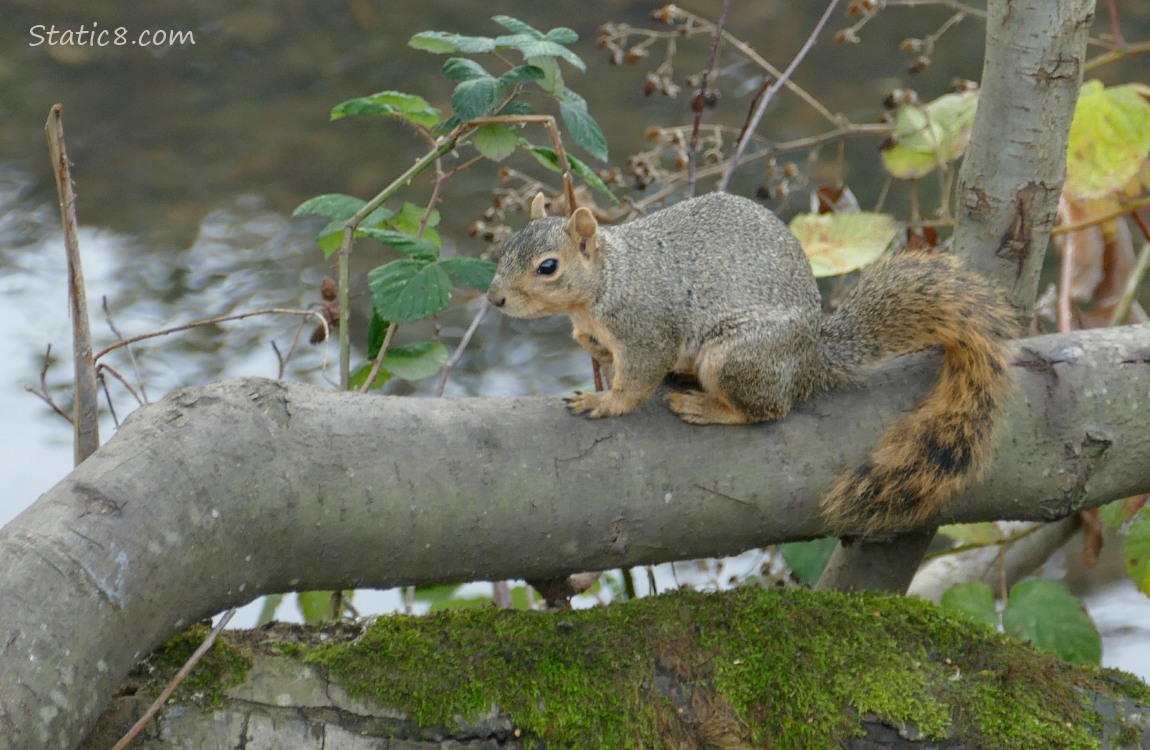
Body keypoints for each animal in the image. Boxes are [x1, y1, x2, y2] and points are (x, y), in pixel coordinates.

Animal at [486, 192, 1018, 535]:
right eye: (505, 248)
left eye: (548, 267)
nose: (494, 299)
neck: (609, 279)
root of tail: (809, 362)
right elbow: (595, 345)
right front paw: (588, 348)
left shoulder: (647, 331)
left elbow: (637, 380)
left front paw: (605, 401)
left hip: (737, 357)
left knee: (767, 410)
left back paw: (708, 407)